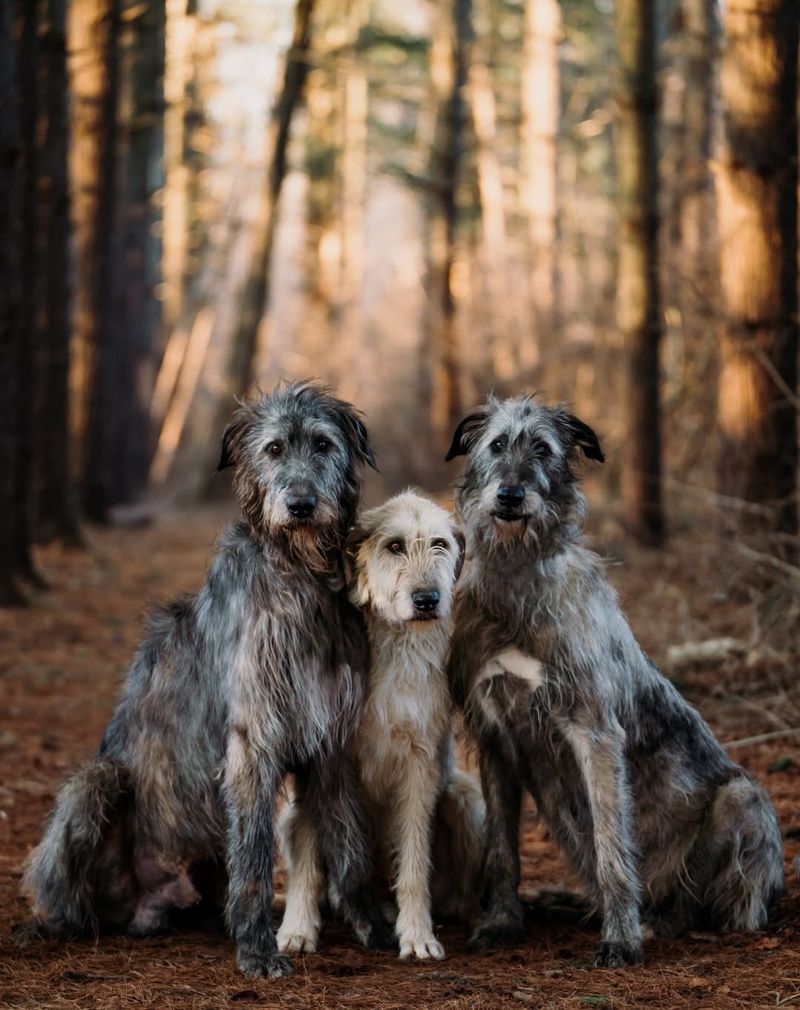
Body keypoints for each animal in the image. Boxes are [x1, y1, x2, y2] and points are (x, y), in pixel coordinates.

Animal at [25, 379, 395, 977]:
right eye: (273, 449)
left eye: (322, 444)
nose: (300, 506)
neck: (300, 576)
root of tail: (147, 903)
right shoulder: (253, 739)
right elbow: (255, 857)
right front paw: (259, 949)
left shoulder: (333, 741)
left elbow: (349, 844)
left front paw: (374, 927)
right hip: (97, 783)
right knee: (68, 892)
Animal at [278, 492, 484, 957]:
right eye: (394, 546)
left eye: (441, 544)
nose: (427, 599)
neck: (391, 647)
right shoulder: (321, 756)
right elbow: (307, 860)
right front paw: (297, 928)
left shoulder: (420, 762)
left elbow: (413, 865)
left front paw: (418, 935)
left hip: (466, 799)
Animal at [446, 393, 783, 969]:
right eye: (496, 444)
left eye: (542, 448)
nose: (510, 496)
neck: (518, 576)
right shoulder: (494, 740)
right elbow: (502, 849)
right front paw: (501, 922)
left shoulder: (595, 732)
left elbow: (611, 845)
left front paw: (621, 938)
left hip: (744, 800)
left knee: (704, 903)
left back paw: (654, 922)